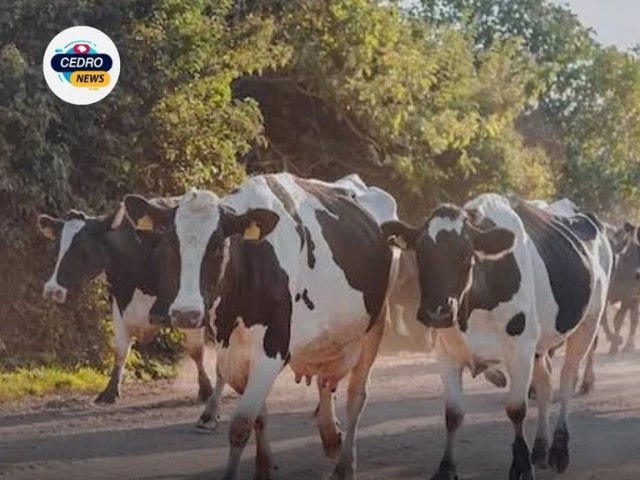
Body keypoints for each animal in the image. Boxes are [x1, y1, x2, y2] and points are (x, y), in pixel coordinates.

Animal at [37, 204, 225, 418]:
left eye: (82, 247)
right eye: (57, 247)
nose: (52, 290)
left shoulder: (190, 308)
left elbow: (196, 351)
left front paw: (206, 389)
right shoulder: (119, 305)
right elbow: (120, 351)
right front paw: (109, 392)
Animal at [124, 173, 396, 480]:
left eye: (218, 246)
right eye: (170, 245)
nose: (185, 314)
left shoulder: (271, 350)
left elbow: (241, 425)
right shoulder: (234, 354)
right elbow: (259, 417)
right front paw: (263, 467)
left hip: (375, 326)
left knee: (356, 397)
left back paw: (345, 465)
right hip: (328, 339)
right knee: (326, 381)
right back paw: (330, 436)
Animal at [382, 194, 612, 480]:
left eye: (466, 256)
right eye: (422, 254)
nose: (437, 312)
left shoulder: (520, 351)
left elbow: (516, 409)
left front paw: (522, 466)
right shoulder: (446, 353)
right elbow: (453, 414)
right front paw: (446, 468)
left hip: (589, 322)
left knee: (567, 378)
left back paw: (559, 450)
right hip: (539, 345)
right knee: (546, 385)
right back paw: (540, 448)